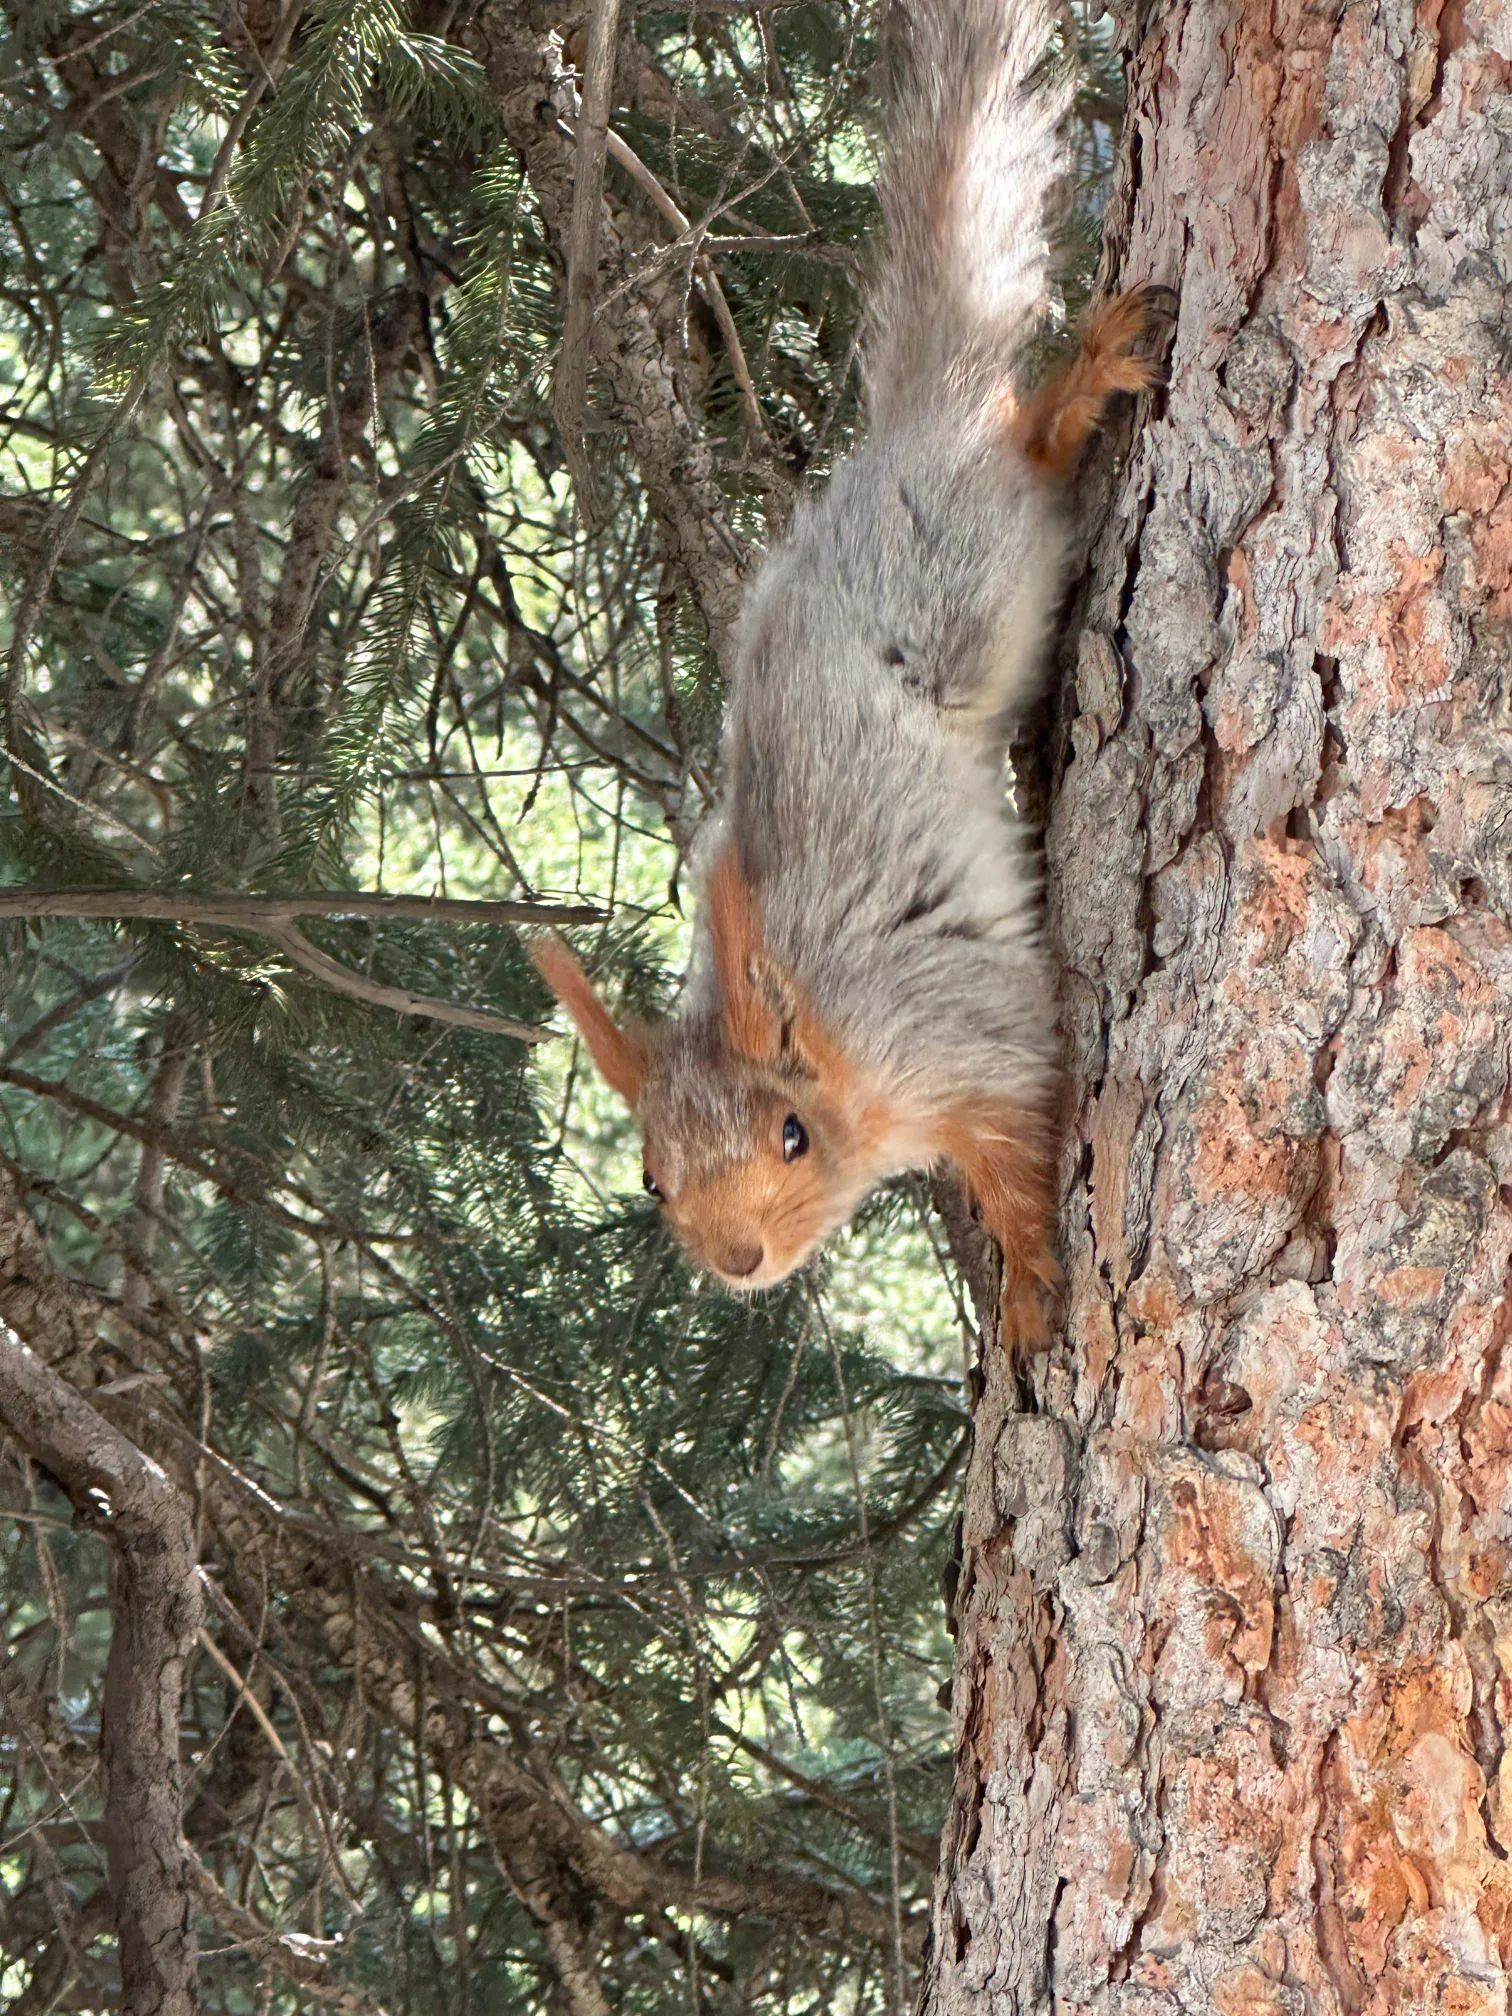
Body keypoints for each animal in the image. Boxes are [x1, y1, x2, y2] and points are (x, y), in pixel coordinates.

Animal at [533, 0, 1167, 1347]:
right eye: (652, 1178)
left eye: (791, 1137)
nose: (737, 1260)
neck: (836, 1053)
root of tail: (891, 446)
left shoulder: (961, 1025)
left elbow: (1021, 1141)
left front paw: (1031, 1282)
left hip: (963, 579)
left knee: (1014, 446)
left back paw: (1079, 386)